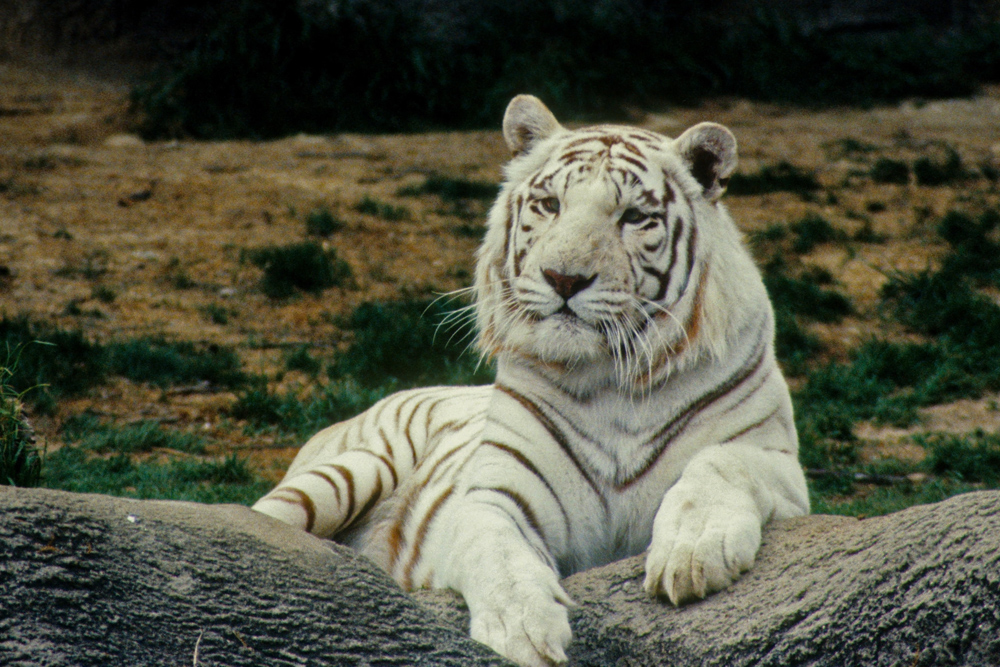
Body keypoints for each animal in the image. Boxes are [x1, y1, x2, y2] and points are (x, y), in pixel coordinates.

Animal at [252, 94, 810, 667]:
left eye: (634, 217)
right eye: (549, 205)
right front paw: (521, 630)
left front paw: (692, 554)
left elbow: (720, 463)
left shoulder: (778, 463)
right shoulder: (497, 490)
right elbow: (496, 551)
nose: (564, 278)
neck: (614, 382)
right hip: (355, 467)